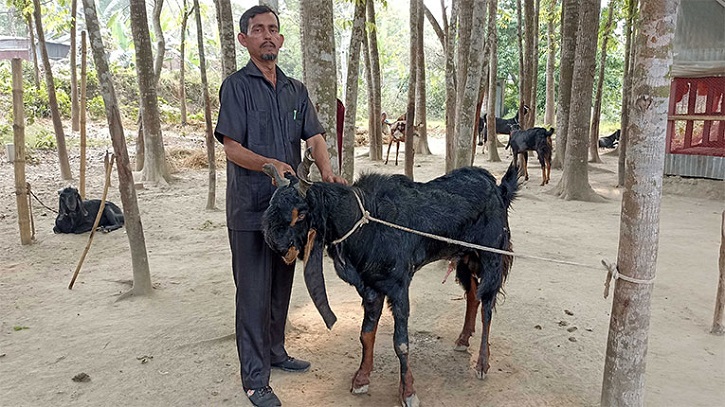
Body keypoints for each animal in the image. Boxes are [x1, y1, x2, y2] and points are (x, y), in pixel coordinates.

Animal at [260, 152, 516, 407]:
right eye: (271, 206)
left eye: (301, 213)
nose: (276, 245)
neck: (364, 221)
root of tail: (498, 188)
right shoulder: (370, 287)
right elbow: (366, 334)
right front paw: (361, 379)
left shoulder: (398, 286)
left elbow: (401, 342)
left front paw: (408, 392)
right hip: (464, 257)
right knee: (473, 295)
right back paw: (463, 340)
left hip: (491, 257)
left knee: (487, 306)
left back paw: (482, 363)